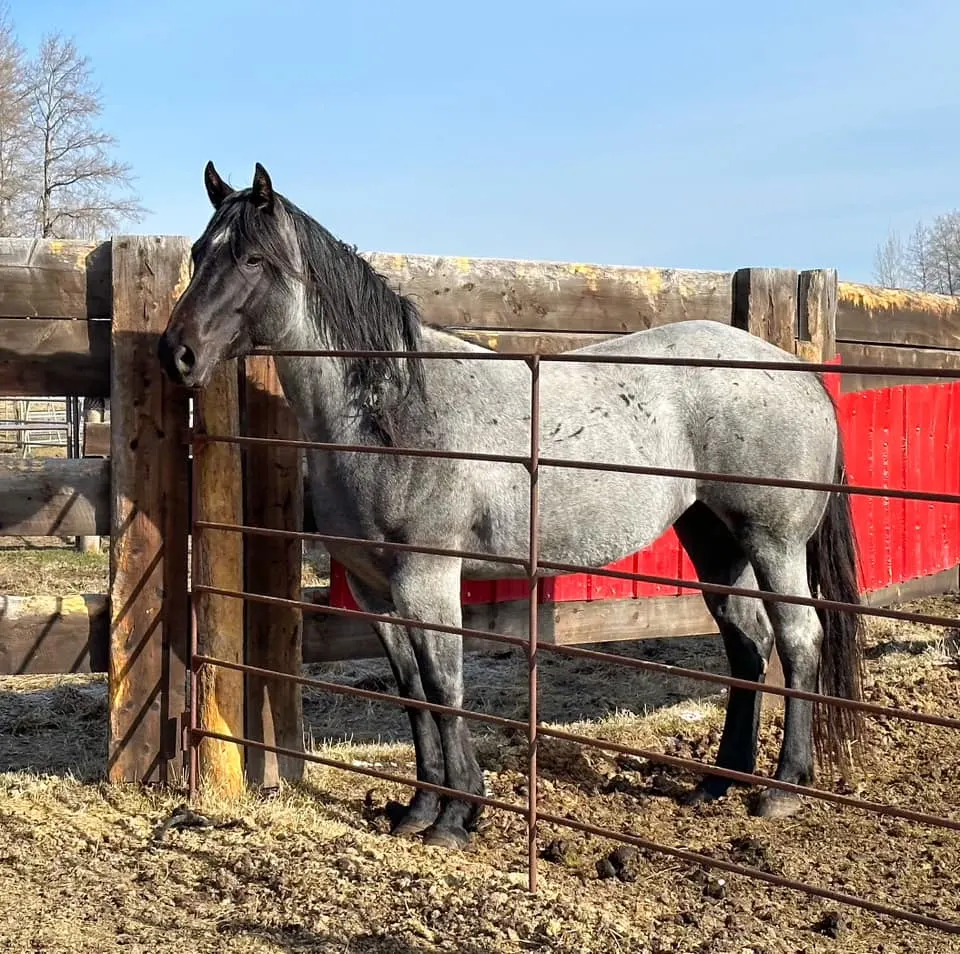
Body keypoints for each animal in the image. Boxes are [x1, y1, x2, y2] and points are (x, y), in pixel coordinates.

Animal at [158, 162, 864, 848]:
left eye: (252, 259)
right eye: (198, 253)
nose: (177, 354)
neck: (391, 411)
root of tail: (800, 375)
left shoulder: (427, 580)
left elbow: (444, 687)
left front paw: (456, 817)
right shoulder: (373, 588)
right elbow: (412, 691)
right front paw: (419, 809)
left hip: (773, 542)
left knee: (798, 638)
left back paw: (782, 788)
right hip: (715, 539)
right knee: (747, 642)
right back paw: (719, 780)